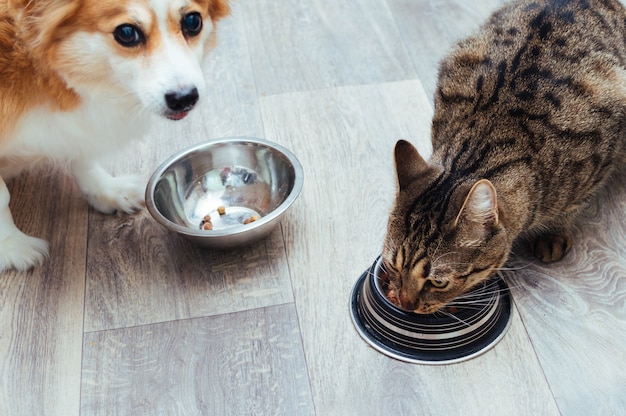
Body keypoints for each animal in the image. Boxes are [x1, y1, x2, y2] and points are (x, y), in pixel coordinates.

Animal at [0, 0, 229, 272]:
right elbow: (2, 197)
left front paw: (106, 189)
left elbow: (83, 153)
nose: (184, 98)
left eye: (193, 22)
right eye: (127, 33)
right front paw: (11, 245)